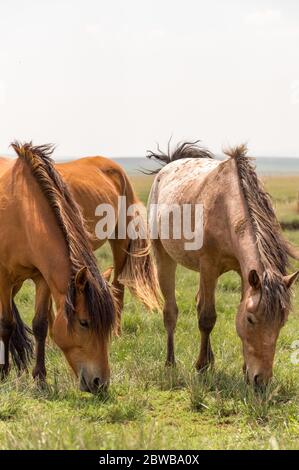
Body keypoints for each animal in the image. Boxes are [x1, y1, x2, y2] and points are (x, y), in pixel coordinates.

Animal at [0, 143, 115, 392]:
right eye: (84, 323)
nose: (100, 383)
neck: (22, 211)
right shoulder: (3, 278)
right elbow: (6, 324)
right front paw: (3, 373)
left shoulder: (42, 277)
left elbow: (41, 325)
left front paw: (40, 378)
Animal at [148, 142, 299, 386]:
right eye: (250, 319)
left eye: (282, 322)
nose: (261, 380)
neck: (227, 206)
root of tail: (169, 165)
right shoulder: (209, 265)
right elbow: (207, 317)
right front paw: (200, 366)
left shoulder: (242, 272)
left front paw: (243, 370)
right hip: (164, 257)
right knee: (171, 311)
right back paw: (171, 363)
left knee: (199, 302)